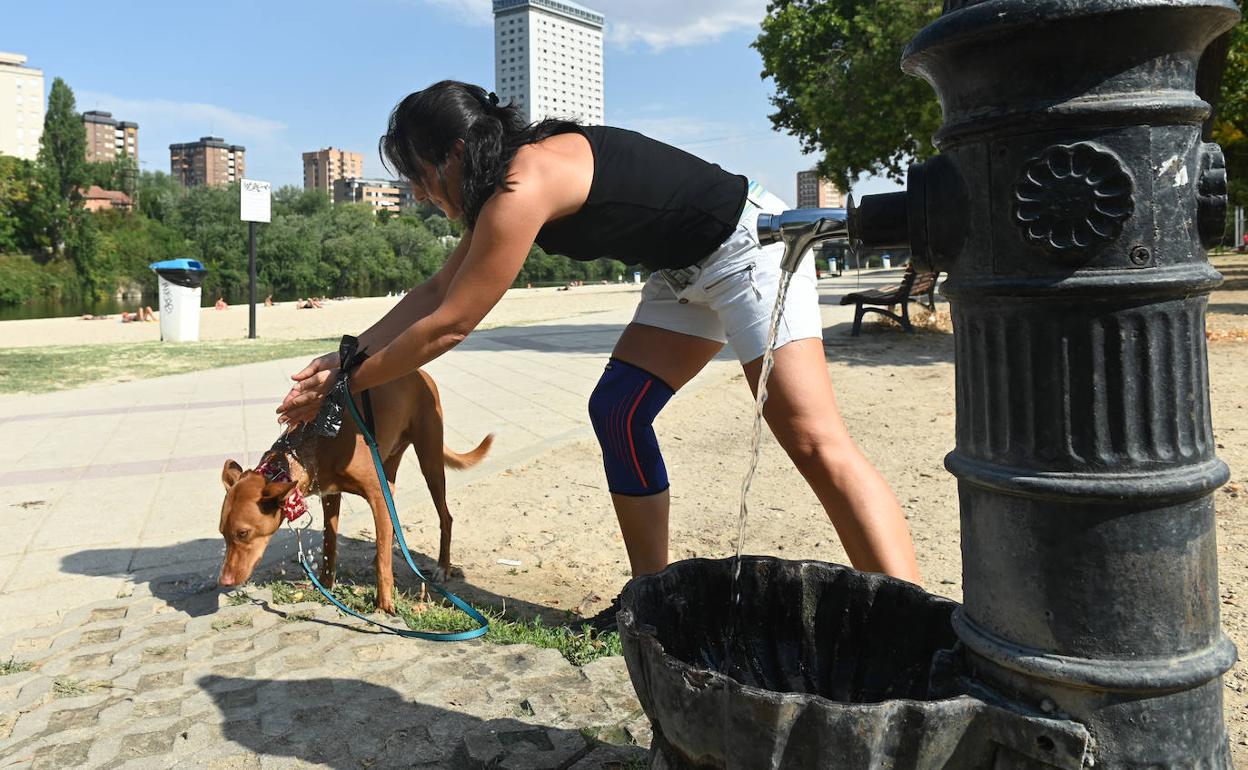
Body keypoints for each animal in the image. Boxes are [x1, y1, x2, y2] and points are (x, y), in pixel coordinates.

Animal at [217, 366, 489, 611]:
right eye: (223, 533)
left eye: (243, 533)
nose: (224, 581)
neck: (310, 442)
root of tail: (421, 373)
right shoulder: (330, 495)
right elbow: (330, 542)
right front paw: (325, 584)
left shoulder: (377, 494)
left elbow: (383, 562)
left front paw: (384, 605)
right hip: (389, 469)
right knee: (390, 523)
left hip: (429, 461)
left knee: (445, 517)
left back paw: (442, 568)